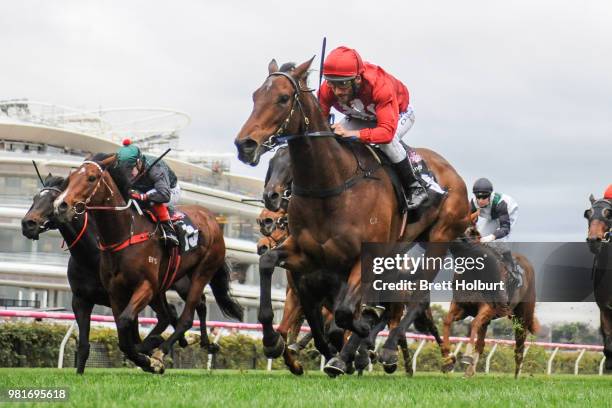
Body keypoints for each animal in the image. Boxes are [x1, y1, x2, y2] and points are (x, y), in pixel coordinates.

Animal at [21, 175, 221, 372]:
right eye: (35, 198)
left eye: (53, 200)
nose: (27, 224)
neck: (91, 256)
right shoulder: (81, 299)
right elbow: (85, 345)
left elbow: (131, 334)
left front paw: (148, 353)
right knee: (171, 312)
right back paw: (187, 342)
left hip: (186, 282)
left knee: (194, 306)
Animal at [52, 155, 243, 374]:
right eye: (70, 178)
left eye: (91, 178)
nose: (61, 205)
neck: (124, 234)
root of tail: (212, 219)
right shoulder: (115, 292)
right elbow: (123, 333)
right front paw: (145, 355)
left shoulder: (146, 286)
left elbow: (126, 324)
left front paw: (148, 356)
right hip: (169, 282)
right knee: (185, 309)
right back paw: (202, 343)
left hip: (202, 271)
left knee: (186, 317)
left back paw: (162, 352)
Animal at [234, 57, 468, 376]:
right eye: (256, 96)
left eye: (283, 98)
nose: (244, 145)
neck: (332, 186)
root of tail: (453, 174)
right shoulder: (305, 258)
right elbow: (269, 264)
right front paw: (274, 341)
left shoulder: (361, 260)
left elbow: (345, 316)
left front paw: (357, 344)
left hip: (439, 238)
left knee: (415, 299)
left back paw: (388, 350)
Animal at [442, 215, 536, 378]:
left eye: (471, 230)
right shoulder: (461, 306)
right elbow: (447, 321)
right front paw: (448, 358)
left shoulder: (489, 308)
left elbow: (473, 324)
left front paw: (466, 357)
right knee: (481, 344)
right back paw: (469, 372)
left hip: (522, 317)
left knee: (519, 346)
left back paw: (516, 376)